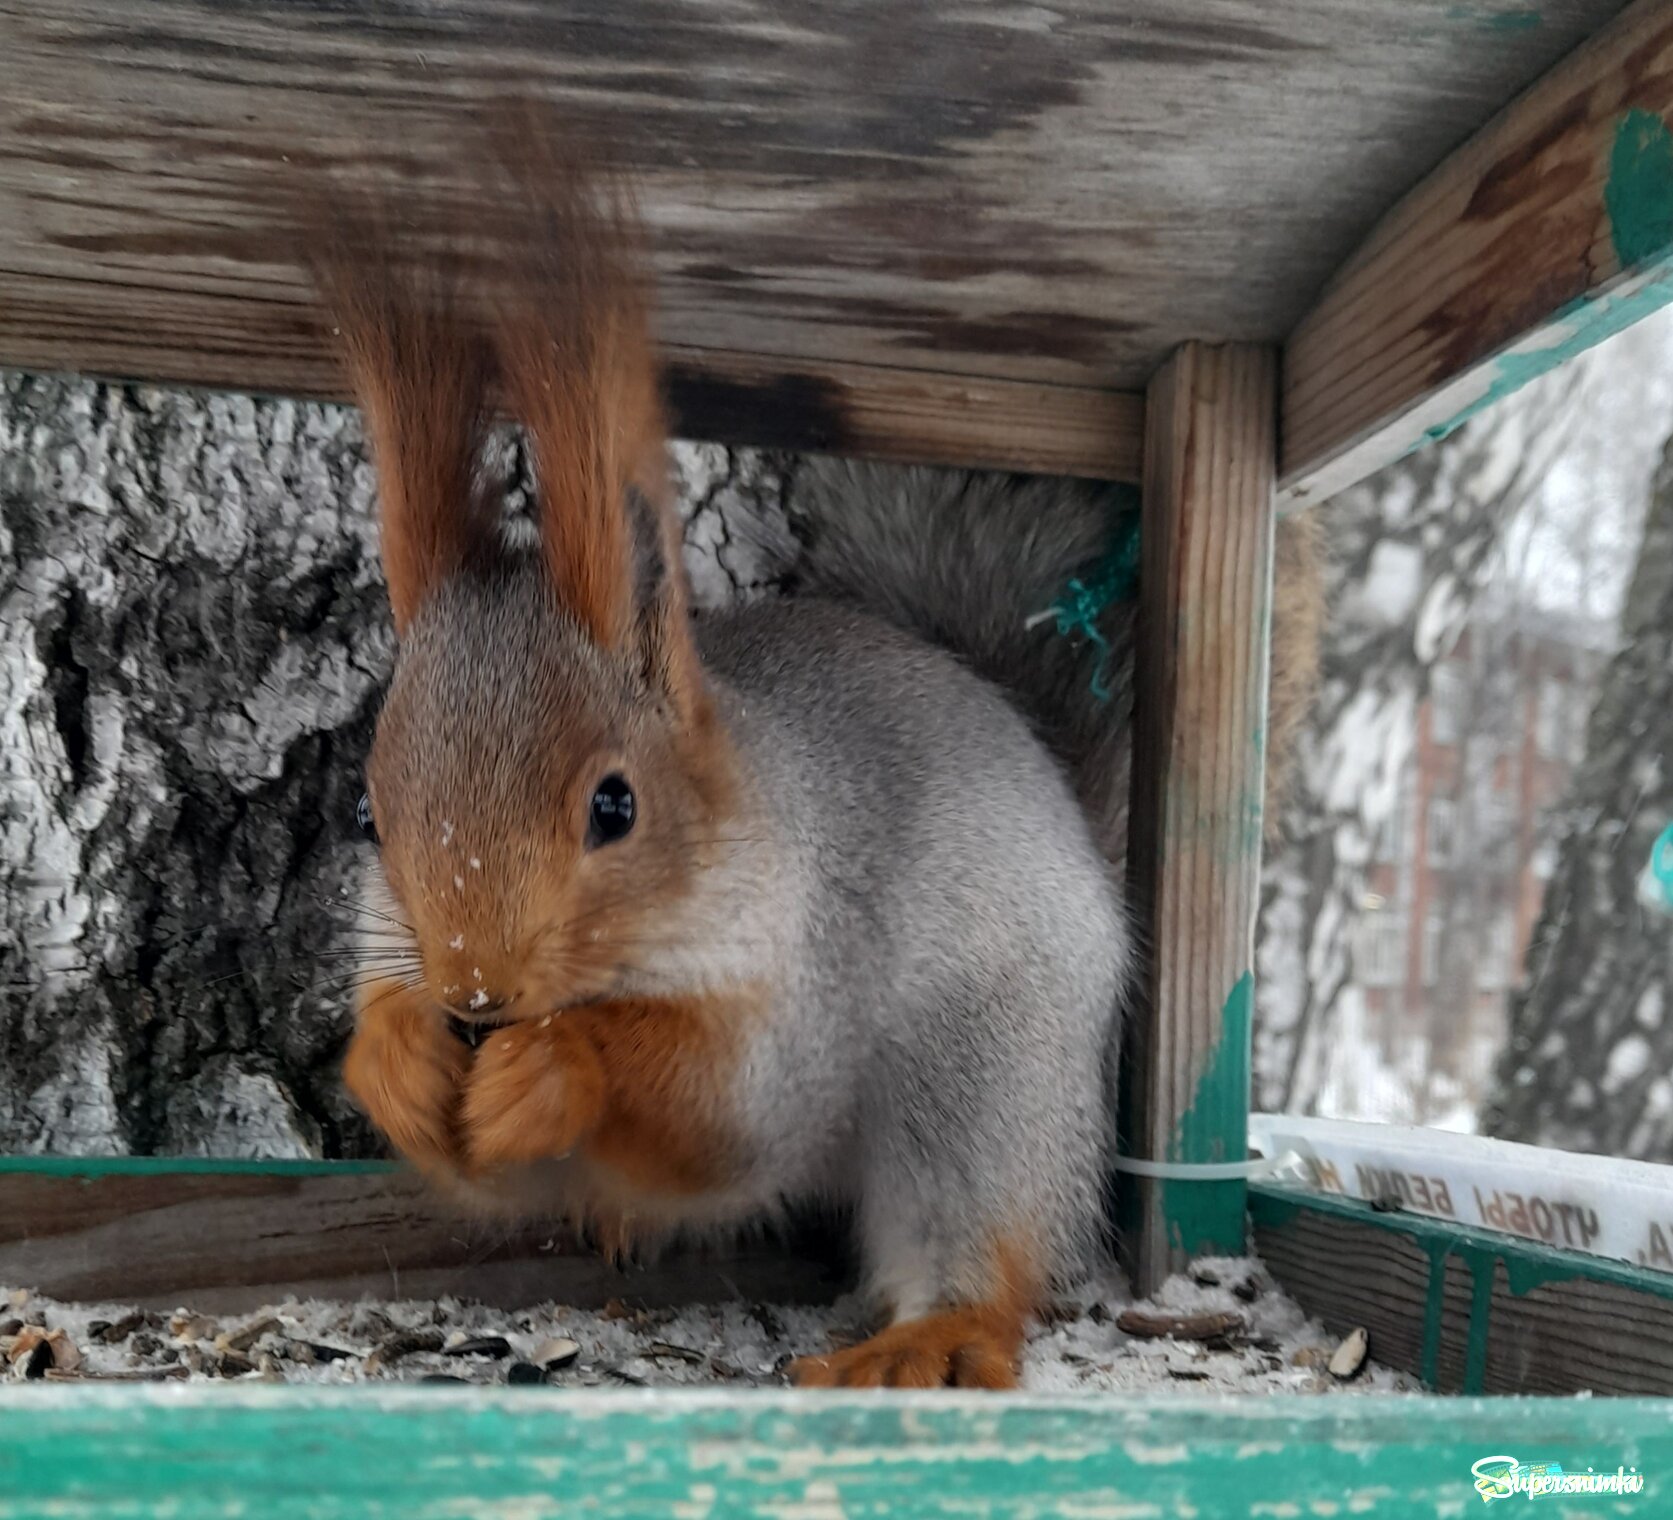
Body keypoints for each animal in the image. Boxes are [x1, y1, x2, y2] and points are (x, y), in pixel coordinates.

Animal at [316, 136, 1318, 1384]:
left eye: (615, 805)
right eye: (368, 814)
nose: (474, 991)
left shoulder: (803, 972)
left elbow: (726, 1113)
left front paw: (555, 1062)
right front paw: (398, 1060)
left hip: (983, 1066)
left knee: (987, 1238)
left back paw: (927, 1338)